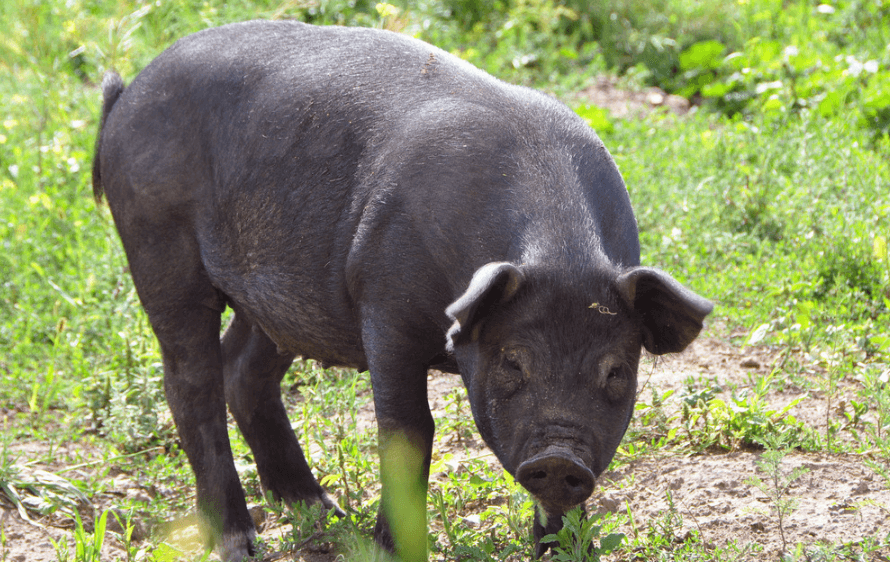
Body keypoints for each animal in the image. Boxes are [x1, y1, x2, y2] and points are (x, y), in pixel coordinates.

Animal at [93, 20, 712, 560]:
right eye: (512, 362)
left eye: (616, 372)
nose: (561, 458)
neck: (560, 250)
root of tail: (128, 94)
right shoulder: (384, 306)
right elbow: (409, 431)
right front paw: (390, 548)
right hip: (157, 244)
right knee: (189, 382)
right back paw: (242, 543)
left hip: (284, 296)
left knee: (242, 368)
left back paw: (322, 510)